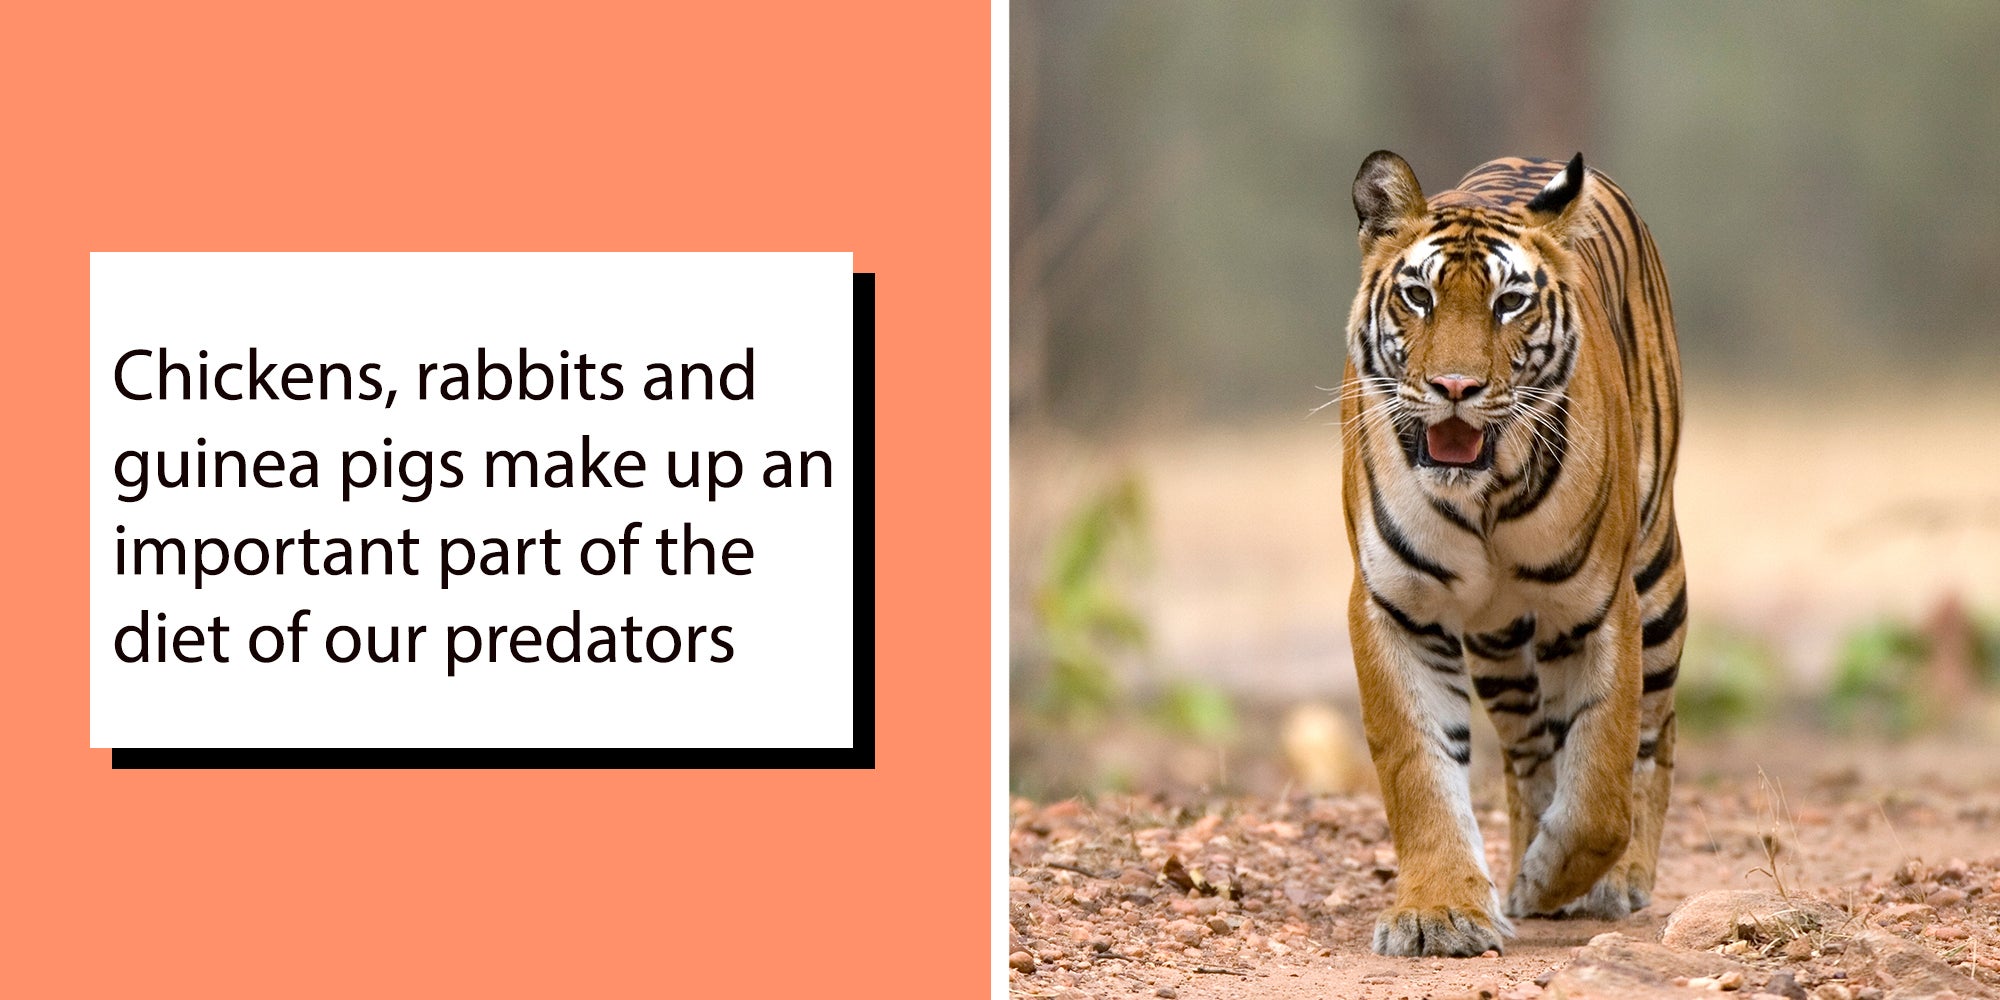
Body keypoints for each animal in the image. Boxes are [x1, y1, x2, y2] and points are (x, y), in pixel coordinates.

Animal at [1337, 151, 1686, 957]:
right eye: (1419, 296)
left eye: (1509, 303)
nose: (1455, 387)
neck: (1484, 495)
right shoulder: (1395, 607)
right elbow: (1419, 767)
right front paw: (1442, 913)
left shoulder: (1601, 608)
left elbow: (1601, 784)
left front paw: (1554, 878)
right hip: (1498, 642)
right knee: (1530, 754)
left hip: (1658, 578)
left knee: (1654, 738)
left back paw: (1618, 878)